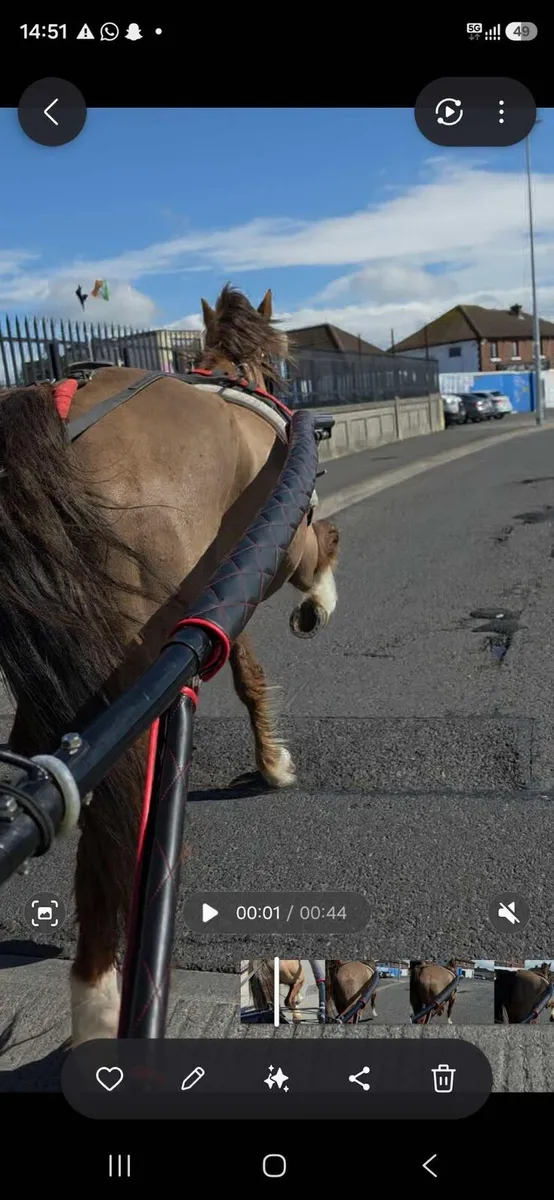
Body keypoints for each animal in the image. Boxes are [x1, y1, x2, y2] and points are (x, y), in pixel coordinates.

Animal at [0, 284, 340, 1047]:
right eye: (285, 356)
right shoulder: (277, 550)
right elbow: (324, 549)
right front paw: (317, 610)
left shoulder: (216, 592)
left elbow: (244, 671)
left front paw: (268, 756)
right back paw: (99, 1006)